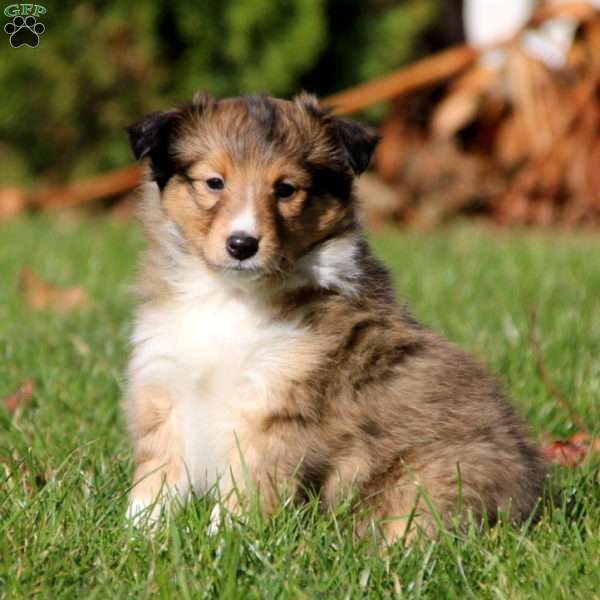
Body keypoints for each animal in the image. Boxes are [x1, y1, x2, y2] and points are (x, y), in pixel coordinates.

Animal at [124, 94, 548, 544]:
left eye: (285, 189)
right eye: (214, 182)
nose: (242, 245)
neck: (230, 297)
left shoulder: (277, 407)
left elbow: (247, 488)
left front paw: (226, 542)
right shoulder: (166, 385)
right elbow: (156, 478)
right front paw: (137, 535)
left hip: (433, 478)